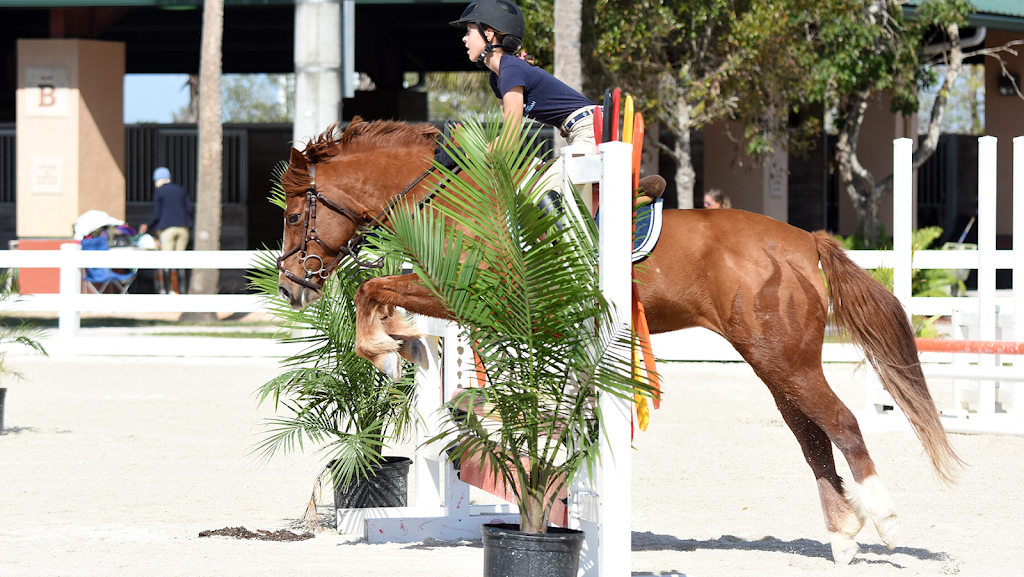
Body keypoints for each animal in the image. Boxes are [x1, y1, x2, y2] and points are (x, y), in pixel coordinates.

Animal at [276, 117, 954, 565]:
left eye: (294, 212)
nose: (290, 286)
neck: (450, 198)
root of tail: (803, 241)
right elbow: (378, 294)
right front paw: (404, 347)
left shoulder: (469, 295)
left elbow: (370, 290)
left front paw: (392, 350)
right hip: (774, 363)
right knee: (812, 436)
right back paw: (842, 538)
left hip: (785, 358)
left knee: (843, 423)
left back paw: (886, 521)